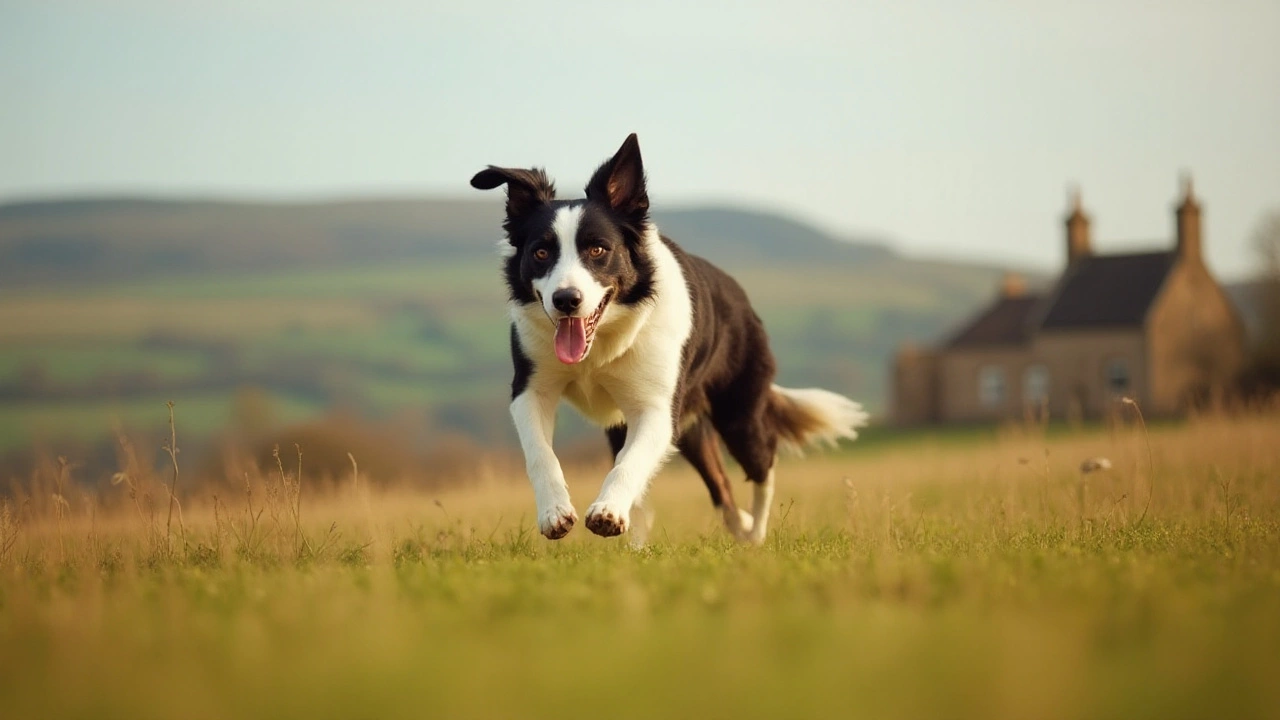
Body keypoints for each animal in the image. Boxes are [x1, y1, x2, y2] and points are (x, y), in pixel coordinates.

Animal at [471, 133, 870, 543]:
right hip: (677, 429)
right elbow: (541, 453)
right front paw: (555, 513)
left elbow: (629, 463)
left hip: (739, 415)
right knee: (720, 483)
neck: (599, 345)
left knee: (763, 466)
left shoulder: (657, 409)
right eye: (540, 252)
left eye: (598, 249)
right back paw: (728, 528)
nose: (566, 300)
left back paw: (755, 535)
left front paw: (607, 512)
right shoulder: (531, 389)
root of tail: (743, 302)